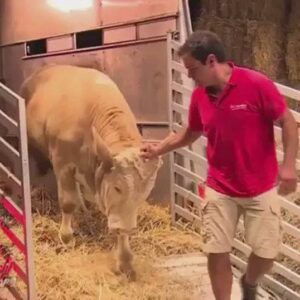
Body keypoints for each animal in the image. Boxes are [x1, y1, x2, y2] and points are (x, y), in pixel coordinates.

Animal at [20, 64, 162, 280]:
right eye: (117, 187)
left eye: (144, 193)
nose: (128, 227)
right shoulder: (63, 162)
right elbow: (67, 202)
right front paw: (66, 238)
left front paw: (125, 260)